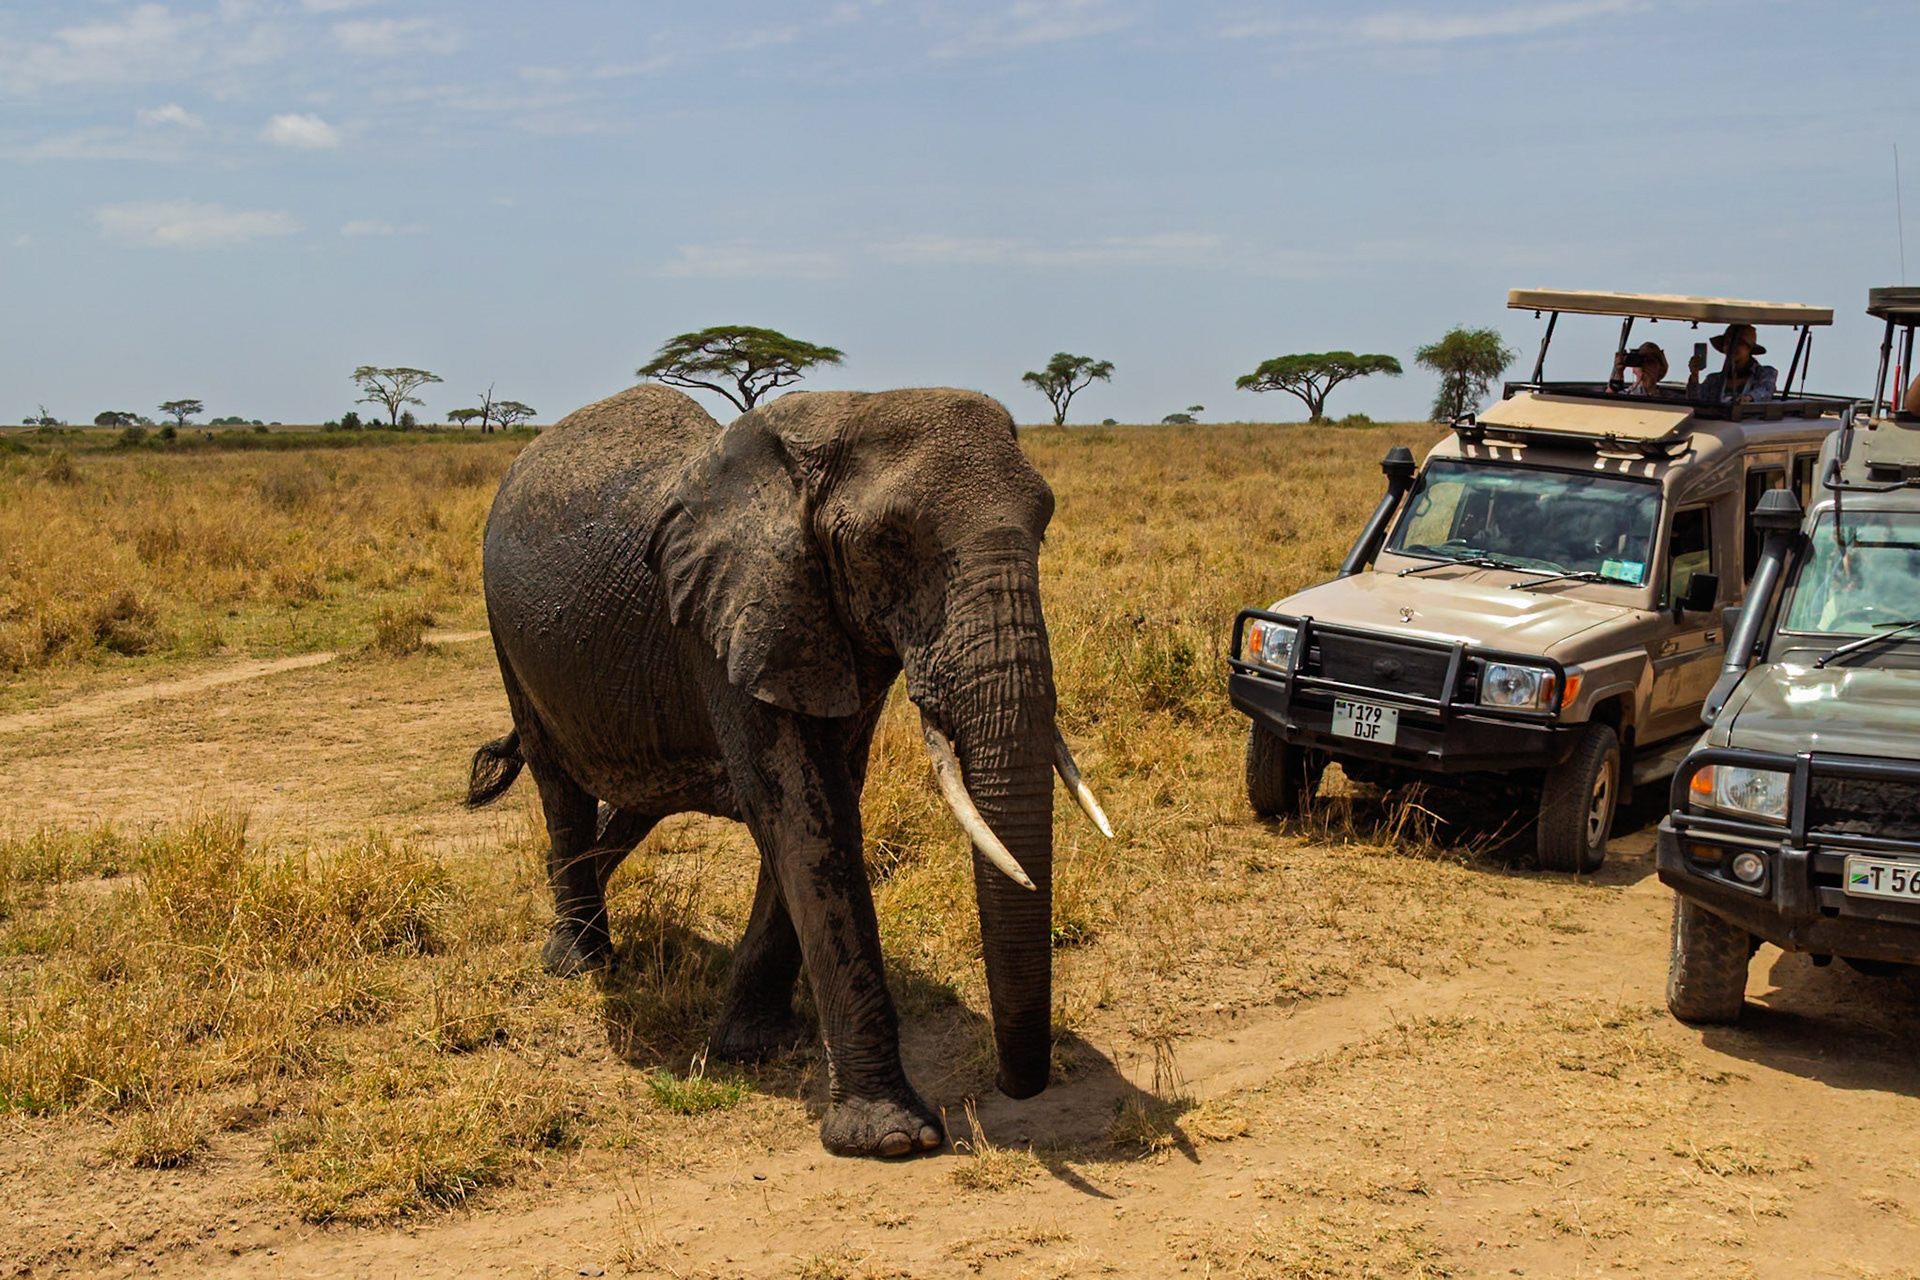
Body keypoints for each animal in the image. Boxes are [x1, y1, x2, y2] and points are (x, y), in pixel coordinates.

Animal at [464, 383, 1111, 1159]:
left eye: (1044, 524)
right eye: (888, 544)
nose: (1016, 1088)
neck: (845, 416)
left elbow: (824, 801)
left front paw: (757, 1046)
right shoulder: (730, 620)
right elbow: (803, 816)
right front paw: (892, 1138)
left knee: (635, 797)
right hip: (508, 637)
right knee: (559, 783)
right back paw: (579, 963)